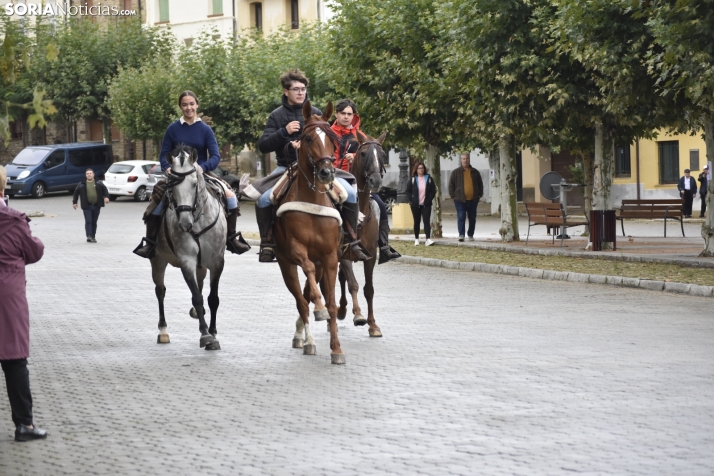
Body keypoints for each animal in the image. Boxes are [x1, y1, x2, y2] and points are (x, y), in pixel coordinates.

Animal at [150, 145, 225, 350]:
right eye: (172, 186)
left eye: (193, 184)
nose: (184, 223)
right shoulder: (187, 261)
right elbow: (197, 297)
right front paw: (205, 334)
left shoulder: (217, 261)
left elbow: (213, 298)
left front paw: (213, 333)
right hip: (157, 260)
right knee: (160, 291)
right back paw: (163, 331)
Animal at [272, 101, 348, 364]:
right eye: (306, 138)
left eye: (333, 139)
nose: (326, 173)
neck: (313, 200)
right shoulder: (297, 251)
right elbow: (311, 288)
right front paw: (320, 310)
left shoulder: (330, 258)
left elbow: (333, 304)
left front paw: (337, 349)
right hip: (285, 265)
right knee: (301, 301)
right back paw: (308, 340)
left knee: (305, 295)